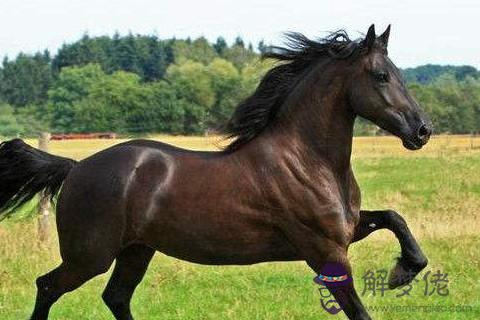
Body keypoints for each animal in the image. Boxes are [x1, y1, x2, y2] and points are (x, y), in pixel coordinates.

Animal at [0, 25, 432, 320]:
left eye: (400, 72)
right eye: (381, 75)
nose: (422, 130)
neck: (308, 161)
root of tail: (76, 168)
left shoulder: (346, 231)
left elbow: (393, 217)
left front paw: (404, 270)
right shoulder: (324, 250)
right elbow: (359, 311)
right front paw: (400, 273)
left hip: (136, 250)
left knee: (116, 297)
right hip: (90, 255)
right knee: (48, 286)